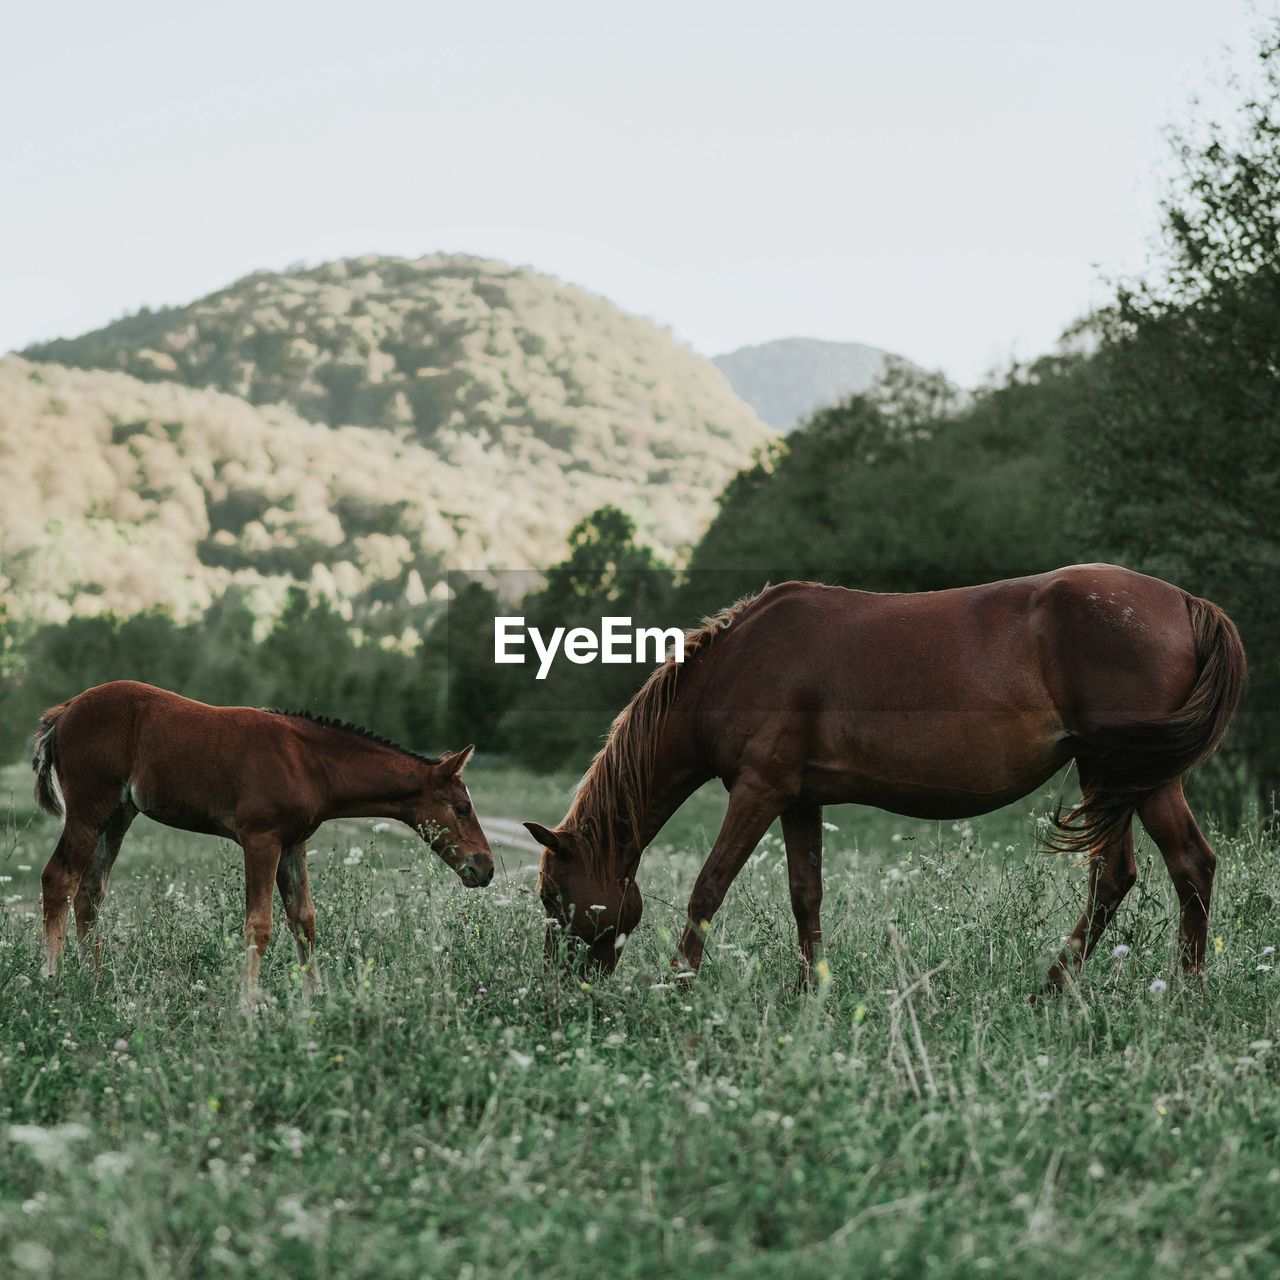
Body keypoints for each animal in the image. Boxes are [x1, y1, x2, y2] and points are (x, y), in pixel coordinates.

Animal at [33, 680, 494, 998]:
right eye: (461, 807)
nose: (485, 867)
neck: (307, 764)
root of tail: (66, 710)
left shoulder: (293, 845)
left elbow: (304, 921)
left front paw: (315, 999)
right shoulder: (261, 840)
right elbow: (259, 924)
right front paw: (248, 1005)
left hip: (118, 816)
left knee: (89, 893)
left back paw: (97, 982)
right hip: (89, 809)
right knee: (59, 878)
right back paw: (52, 979)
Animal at [524, 565, 1244, 993]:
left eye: (554, 896)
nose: (565, 990)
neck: (738, 664)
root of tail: (1187, 603)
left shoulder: (758, 790)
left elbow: (709, 887)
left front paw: (678, 984)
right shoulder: (797, 800)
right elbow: (805, 895)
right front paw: (812, 990)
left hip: (1126, 773)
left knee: (1174, 868)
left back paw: (1165, 991)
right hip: (1116, 775)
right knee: (1144, 872)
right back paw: (1074, 987)